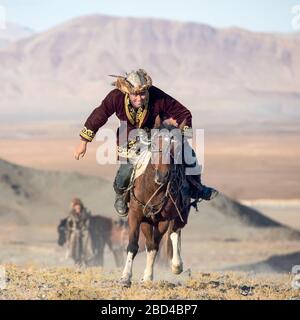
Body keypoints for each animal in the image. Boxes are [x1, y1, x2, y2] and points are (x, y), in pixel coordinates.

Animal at [120, 115, 191, 288]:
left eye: (177, 148)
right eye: (155, 143)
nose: (163, 176)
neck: (153, 188)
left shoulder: (164, 220)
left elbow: (155, 246)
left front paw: (147, 277)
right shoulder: (136, 215)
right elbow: (134, 245)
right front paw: (126, 277)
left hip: (179, 216)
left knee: (174, 233)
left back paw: (177, 265)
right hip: (147, 221)